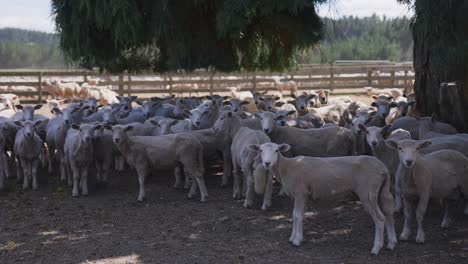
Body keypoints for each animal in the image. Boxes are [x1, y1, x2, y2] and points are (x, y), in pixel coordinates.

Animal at [250, 142, 396, 256]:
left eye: (276, 150)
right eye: (261, 150)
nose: (267, 163)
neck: (286, 168)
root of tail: (383, 167)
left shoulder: (300, 193)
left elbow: (297, 216)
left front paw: (297, 241)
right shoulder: (300, 196)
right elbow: (295, 215)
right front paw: (292, 238)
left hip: (368, 193)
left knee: (380, 218)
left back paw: (376, 248)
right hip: (381, 191)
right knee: (388, 213)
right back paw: (392, 243)